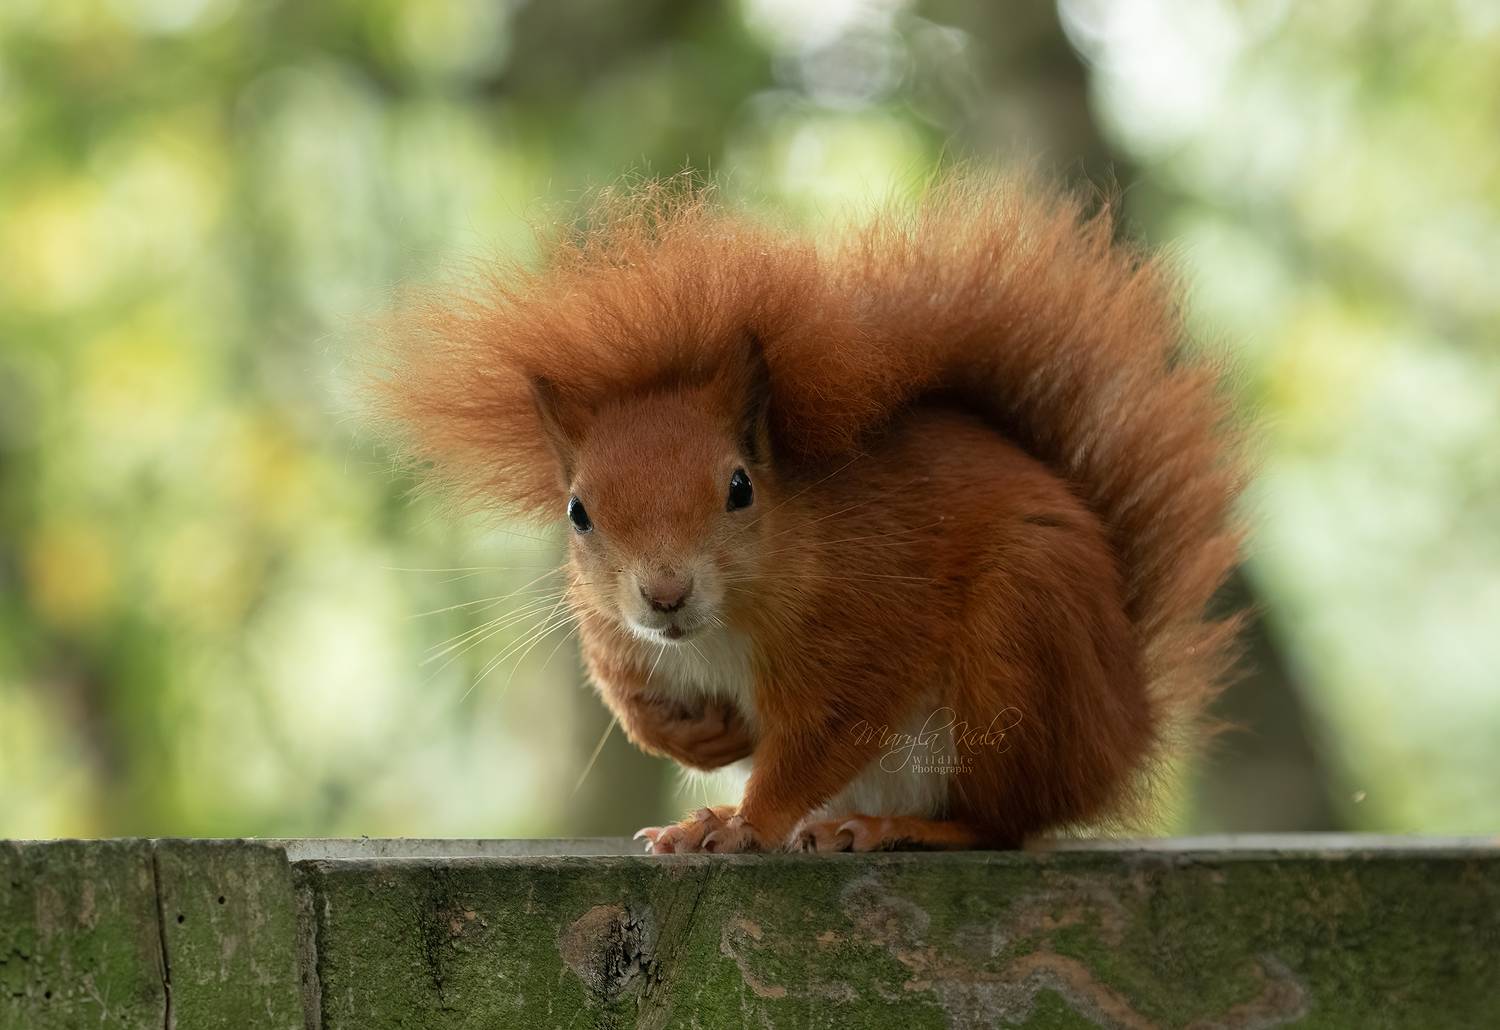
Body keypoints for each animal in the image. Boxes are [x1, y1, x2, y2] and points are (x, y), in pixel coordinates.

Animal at [374, 173, 1244, 853]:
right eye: (578, 513)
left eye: (740, 488)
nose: (664, 595)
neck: (721, 628)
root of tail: (1123, 726)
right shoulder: (617, 639)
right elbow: (640, 712)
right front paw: (705, 740)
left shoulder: (864, 627)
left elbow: (822, 736)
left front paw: (739, 823)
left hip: (1020, 650)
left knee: (1001, 821)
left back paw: (900, 828)